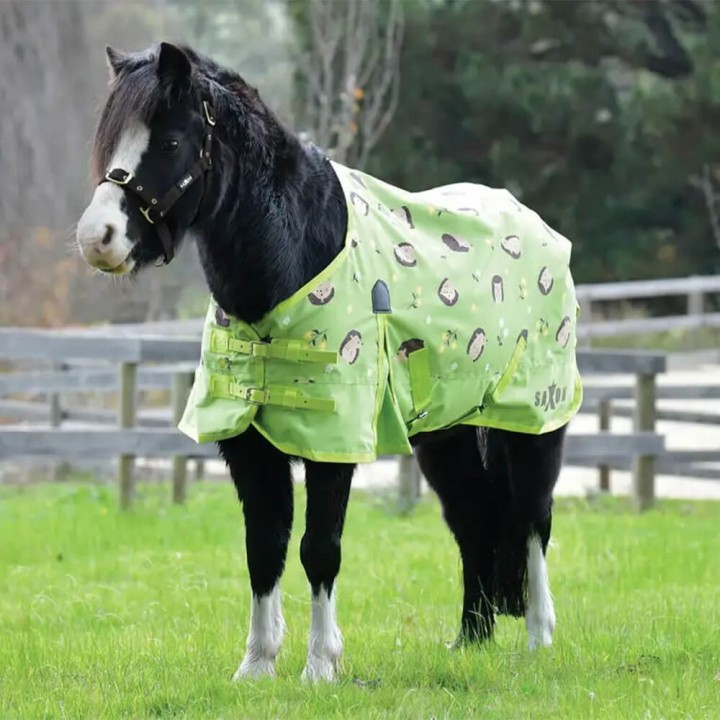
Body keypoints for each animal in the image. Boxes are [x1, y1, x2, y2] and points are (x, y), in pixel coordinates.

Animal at [76, 42, 578, 683]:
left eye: (167, 142)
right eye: (110, 141)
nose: (98, 237)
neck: (293, 255)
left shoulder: (333, 441)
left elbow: (319, 549)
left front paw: (320, 667)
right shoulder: (249, 446)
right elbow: (263, 548)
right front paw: (257, 666)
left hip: (533, 423)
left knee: (534, 518)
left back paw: (538, 638)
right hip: (446, 436)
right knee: (473, 519)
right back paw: (470, 641)